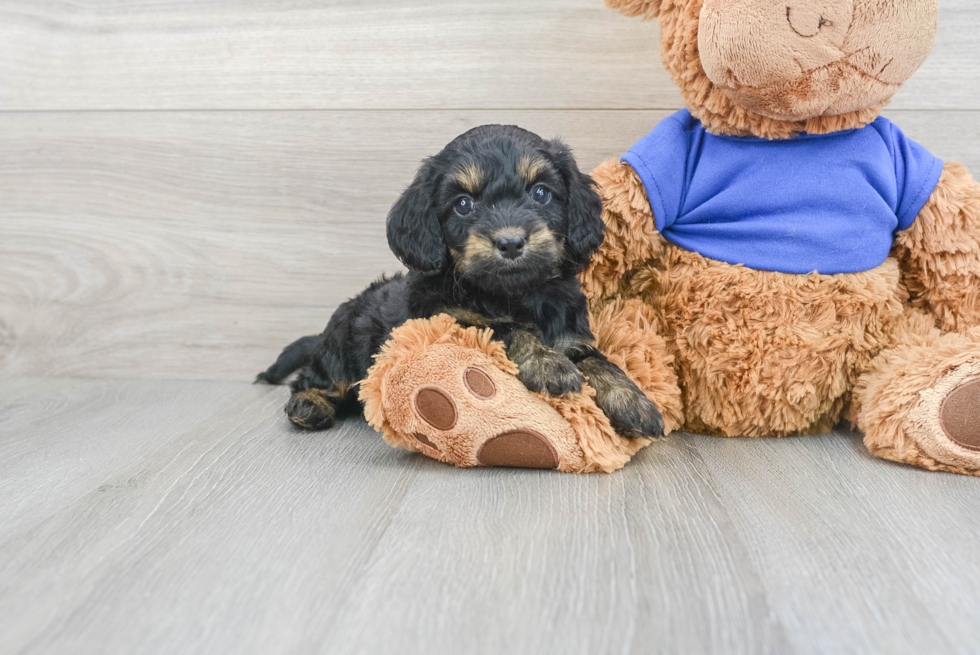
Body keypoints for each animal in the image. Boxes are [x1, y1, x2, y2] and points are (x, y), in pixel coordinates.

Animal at [258, 123, 668, 440]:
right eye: (463, 204)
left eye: (540, 193)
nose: (510, 241)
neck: (513, 294)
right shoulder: (448, 320)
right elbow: (506, 330)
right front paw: (547, 364)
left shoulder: (569, 332)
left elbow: (596, 358)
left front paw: (632, 400)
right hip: (345, 346)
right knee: (318, 377)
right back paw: (309, 404)